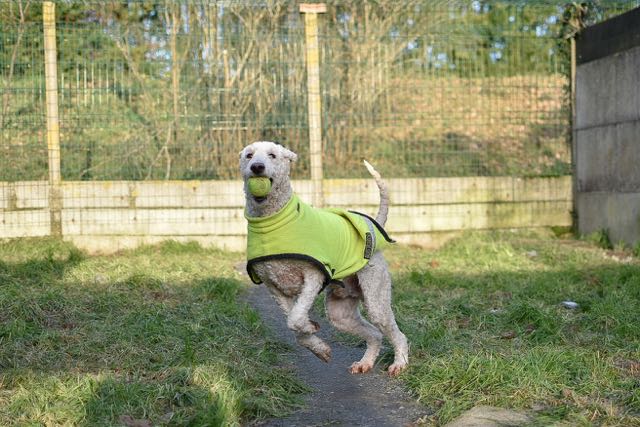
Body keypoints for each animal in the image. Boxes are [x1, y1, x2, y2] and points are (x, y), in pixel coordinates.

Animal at [240, 141, 408, 376]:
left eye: (272, 155)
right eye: (248, 155)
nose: (257, 167)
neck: (274, 219)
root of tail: (373, 226)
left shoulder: (313, 277)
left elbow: (295, 319)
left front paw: (309, 328)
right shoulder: (274, 289)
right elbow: (295, 326)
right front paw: (317, 345)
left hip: (376, 297)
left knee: (397, 334)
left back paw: (399, 363)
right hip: (340, 313)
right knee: (375, 334)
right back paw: (365, 363)